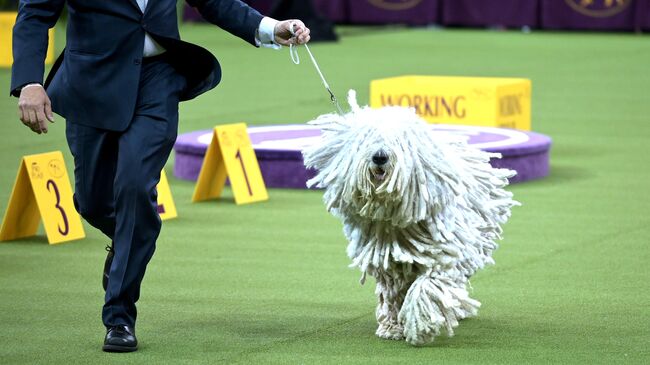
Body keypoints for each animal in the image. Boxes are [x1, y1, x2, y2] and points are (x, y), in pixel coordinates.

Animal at [302, 90, 520, 344]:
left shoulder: (442, 253)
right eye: (368, 138)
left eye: (398, 141)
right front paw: (393, 327)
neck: (393, 216)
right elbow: (393, 293)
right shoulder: (388, 260)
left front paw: (421, 323)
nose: (379, 157)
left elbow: (429, 285)